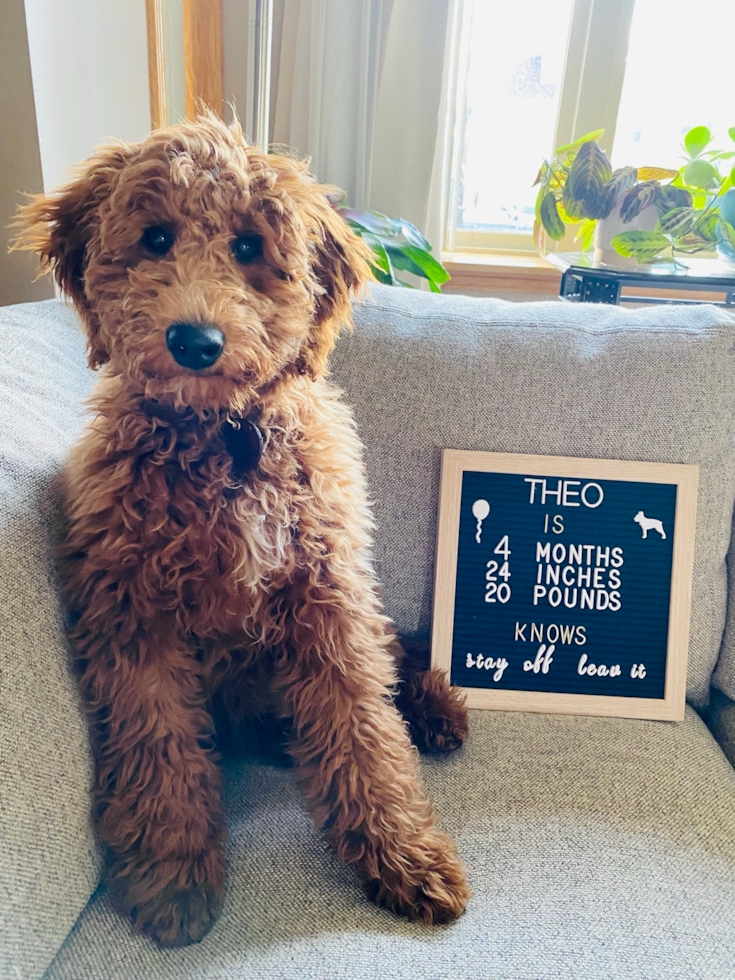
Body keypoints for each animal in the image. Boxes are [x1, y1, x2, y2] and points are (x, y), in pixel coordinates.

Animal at [15, 111, 472, 944]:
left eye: (250, 247)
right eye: (155, 238)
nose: (194, 341)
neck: (221, 439)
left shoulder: (328, 598)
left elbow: (364, 730)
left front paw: (403, 854)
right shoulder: (133, 616)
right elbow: (158, 746)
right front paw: (171, 874)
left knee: (396, 657)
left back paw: (435, 711)